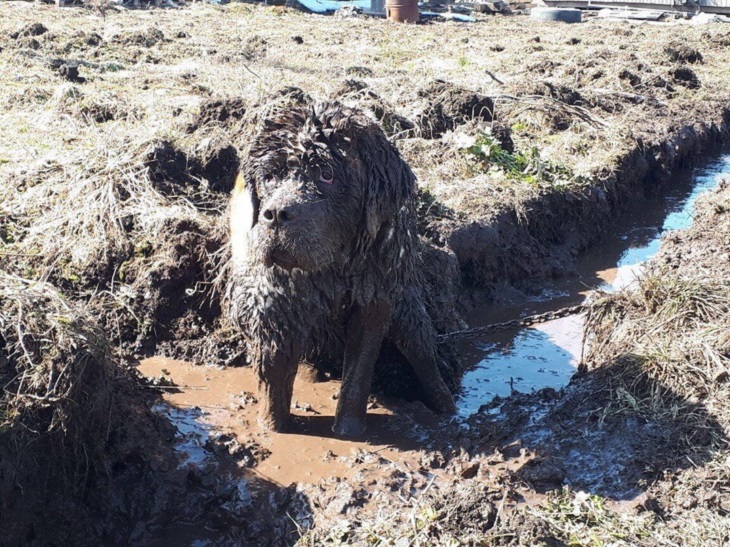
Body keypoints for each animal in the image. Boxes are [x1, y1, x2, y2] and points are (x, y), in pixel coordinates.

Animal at [228, 101, 456, 436]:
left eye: (326, 175)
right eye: (269, 177)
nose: (277, 214)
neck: (332, 267)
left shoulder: (374, 298)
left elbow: (358, 372)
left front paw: (348, 430)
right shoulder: (273, 304)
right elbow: (274, 375)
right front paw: (271, 429)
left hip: (406, 307)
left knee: (420, 349)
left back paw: (446, 405)